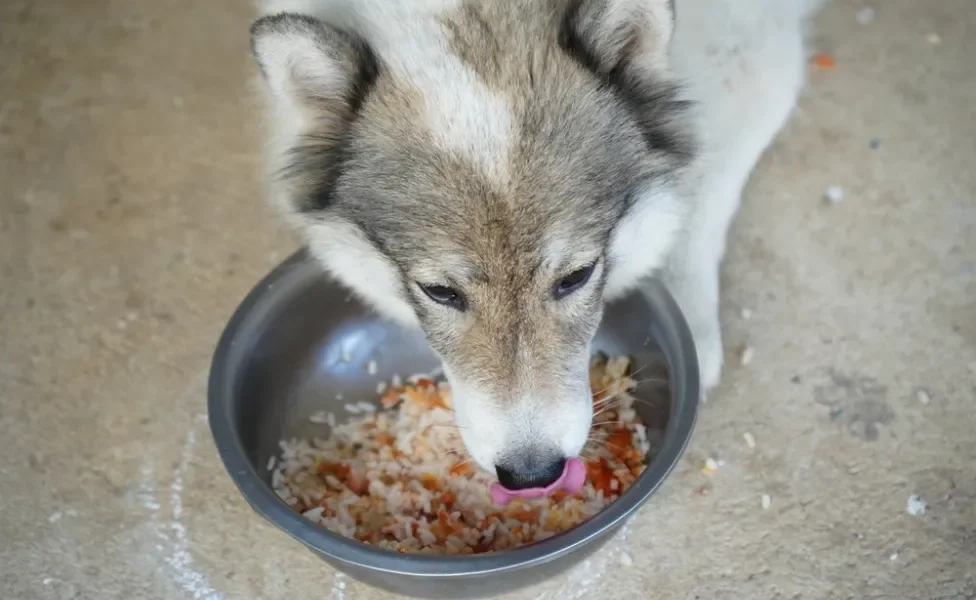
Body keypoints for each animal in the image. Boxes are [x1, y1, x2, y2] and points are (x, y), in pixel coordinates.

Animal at [248, 0, 820, 490]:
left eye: (576, 277)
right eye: (440, 293)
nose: (532, 474)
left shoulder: (751, 53)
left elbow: (702, 184)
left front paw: (691, 322)